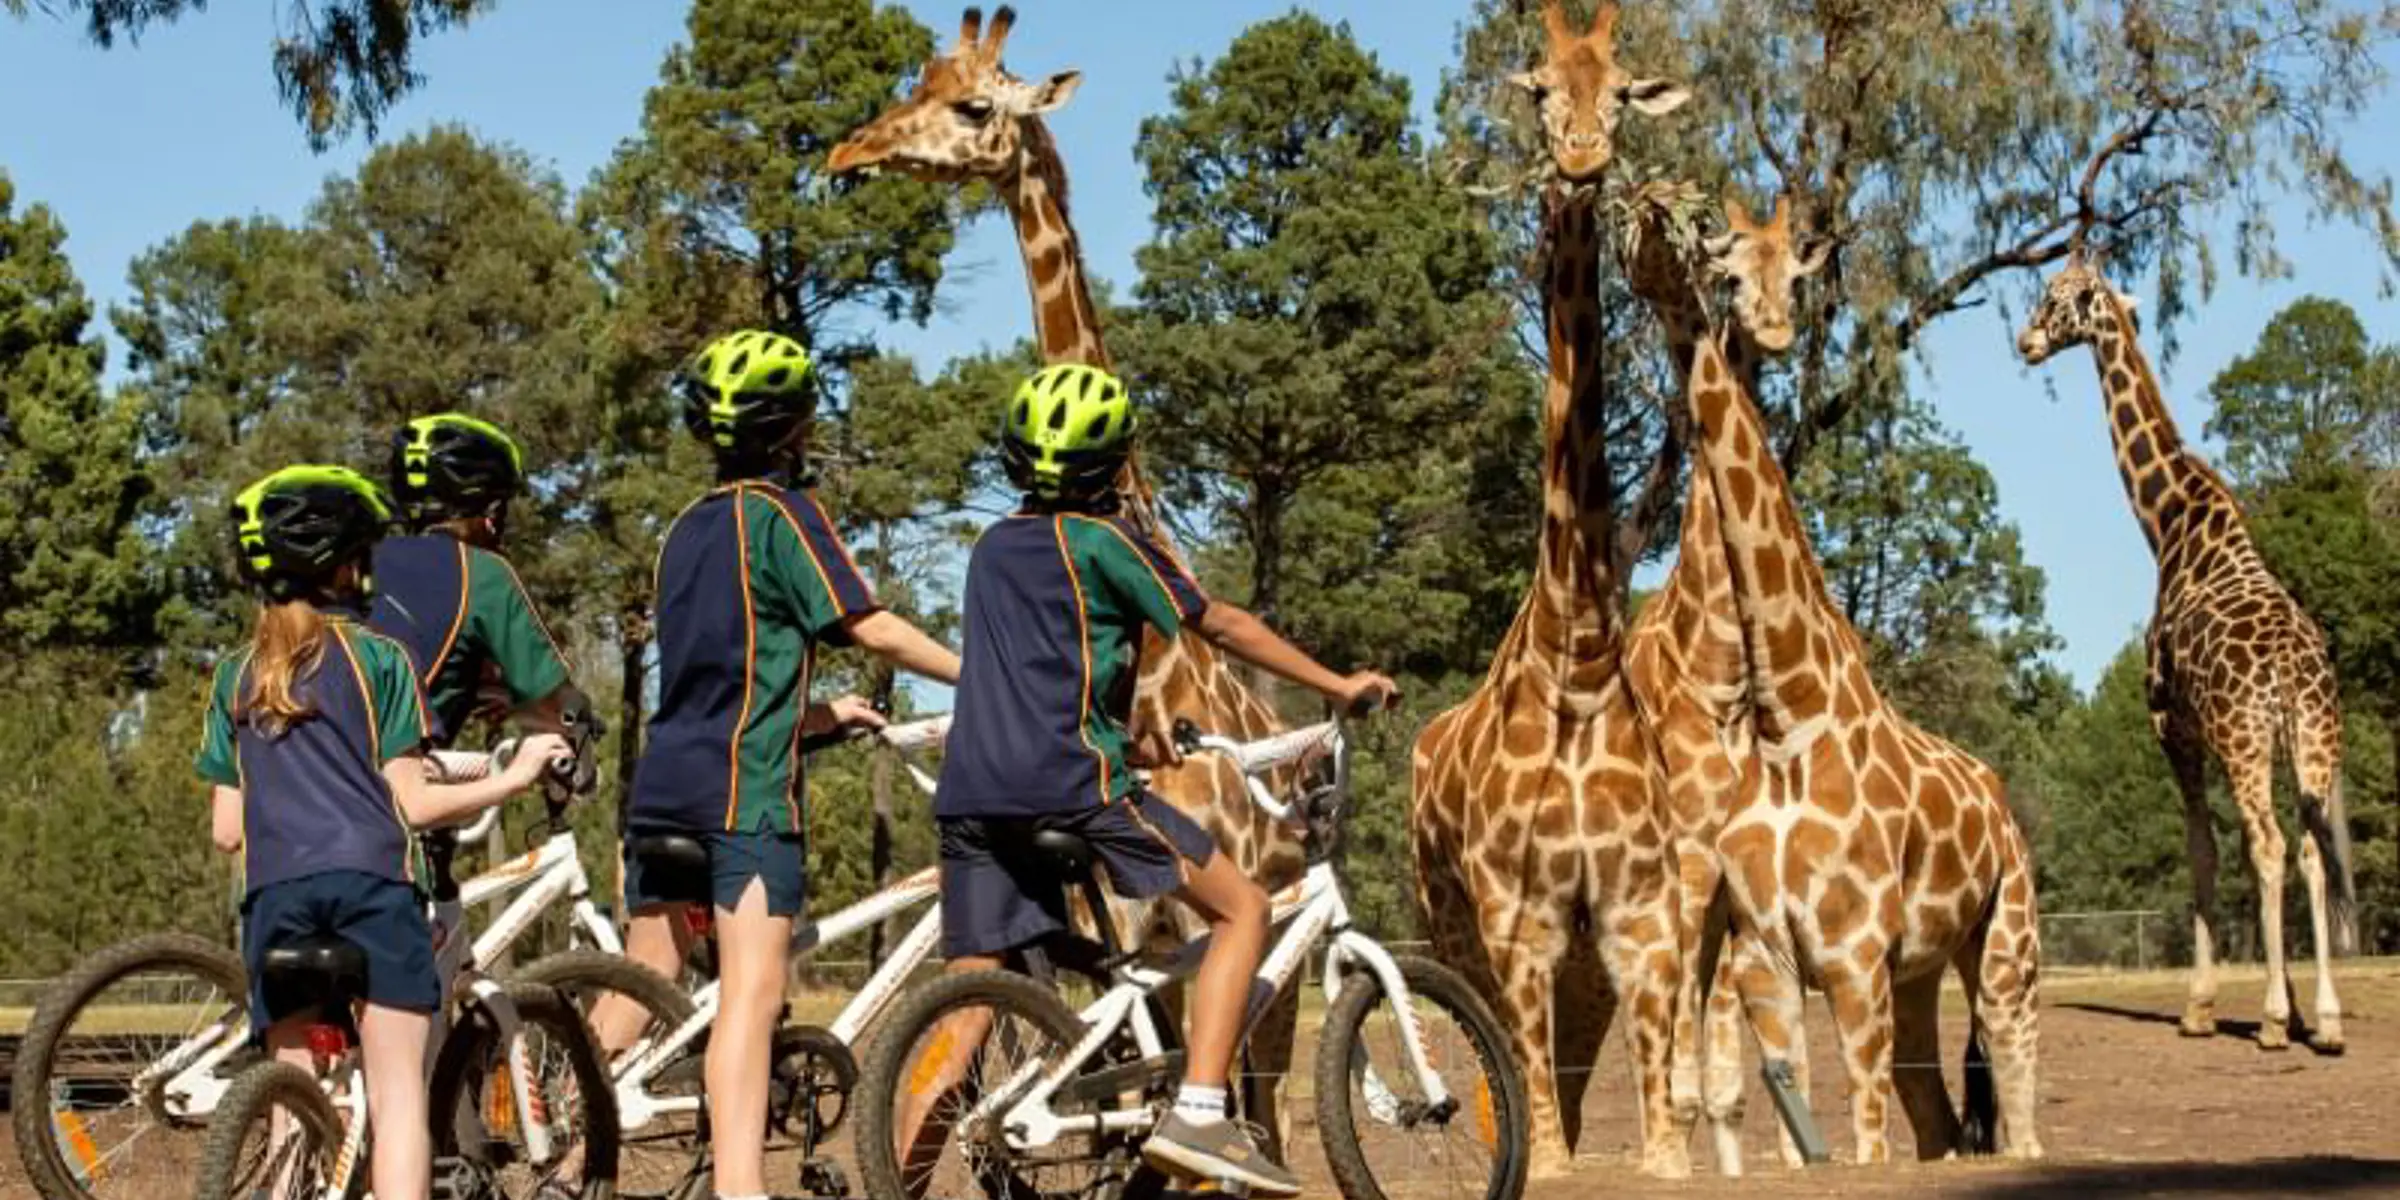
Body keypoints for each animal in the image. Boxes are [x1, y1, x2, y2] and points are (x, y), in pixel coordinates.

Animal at [826, 2, 1311, 1140]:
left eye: (973, 105)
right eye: (917, 83)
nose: (845, 154)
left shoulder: (1187, 919)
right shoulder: (1134, 925)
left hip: (1275, 950)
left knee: (1263, 1091)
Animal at [1618, 188, 2045, 1164]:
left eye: (1795, 277)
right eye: (1729, 270)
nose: (1772, 330)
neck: (1784, 715)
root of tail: (1999, 795)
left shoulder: (1851, 959)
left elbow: (1857, 1128)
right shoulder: (1762, 950)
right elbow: (1776, 1106)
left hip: (2001, 944)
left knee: (2007, 1093)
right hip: (1914, 968)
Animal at [2017, 255, 2356, 1052]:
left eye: (2054, 297)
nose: (2026, 342)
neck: (2168, 521)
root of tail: (2292, 674)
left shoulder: (2174, 728)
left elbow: (2204, 851)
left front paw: (2203, 1007)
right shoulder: (2220, 738)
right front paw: (2294, 1008)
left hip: (2246, 737)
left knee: (2271, 845)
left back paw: (2271, 1022)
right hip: (2312, 740)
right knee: (2311, 848)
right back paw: (2325, 1022)